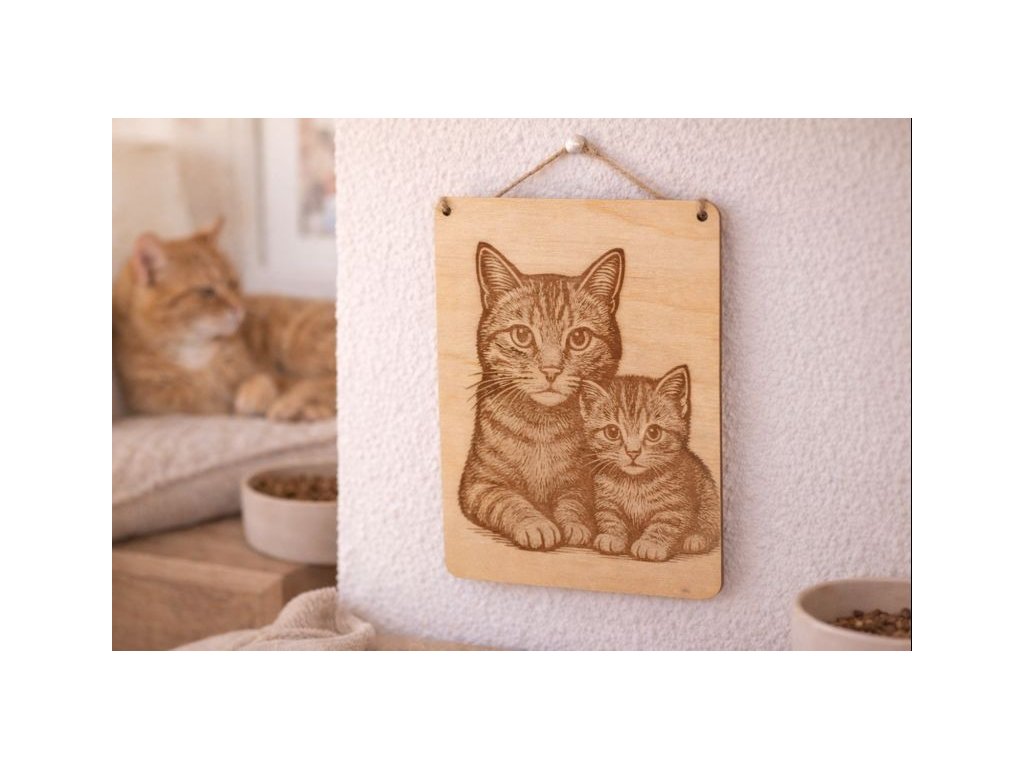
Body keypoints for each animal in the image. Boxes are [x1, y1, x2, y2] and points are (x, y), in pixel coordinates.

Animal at [113, 219, 336, 421]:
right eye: (207, 291)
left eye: (232, 283)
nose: (239, 308)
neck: (194, 354)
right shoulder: (167, 398)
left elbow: (274, 380)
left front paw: (261, 396)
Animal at [459, 242, 624, 550]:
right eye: (522, 335)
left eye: (579, 338)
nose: (551, 370)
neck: (541, 428)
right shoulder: (479, 484)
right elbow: (509, 501)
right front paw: (536, 524)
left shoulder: (581, 482)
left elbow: (574, 502)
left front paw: (575, 524)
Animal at [578, 366, 719, 561]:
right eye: (612, 431)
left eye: (653, 432)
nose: (633, 452)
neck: (635, 484)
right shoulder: (605, 498)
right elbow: (609, 515)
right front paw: (612, 536)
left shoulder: (677, 504)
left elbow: (666, 523)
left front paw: (651, 544)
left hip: (709, 498)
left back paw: (696, 538)